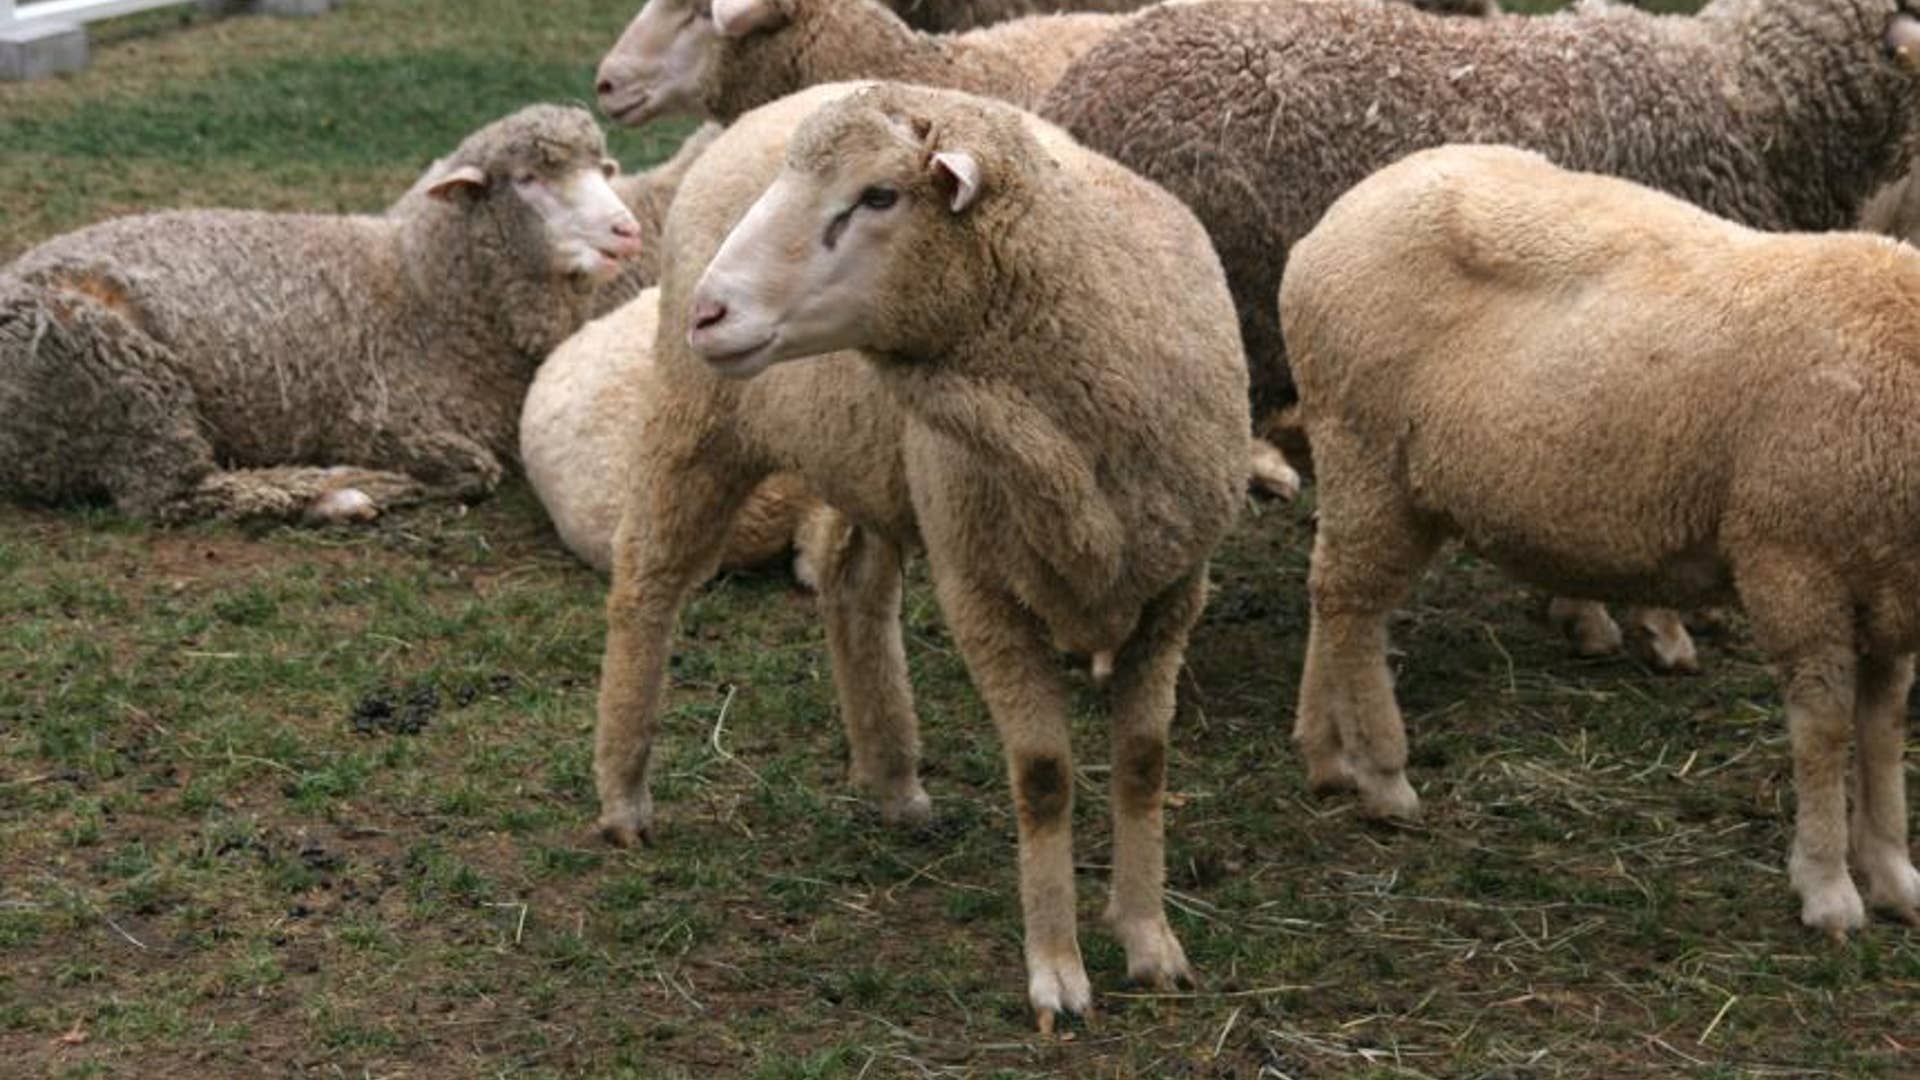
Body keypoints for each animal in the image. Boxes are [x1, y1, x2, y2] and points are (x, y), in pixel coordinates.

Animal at [0, 105, 641, 524]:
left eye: (602, 170)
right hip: (122, 380)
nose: (627, 231)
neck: (424, 289)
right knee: (172, 494)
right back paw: (340, 491)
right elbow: (477, 470)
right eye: (528, 180)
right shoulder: (373, 418)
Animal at [592, 81, 1249, 1028]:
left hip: (867, 455)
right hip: (700, 414)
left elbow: (1143, 762)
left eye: (879, 196)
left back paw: (894, 779)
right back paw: (624, 793)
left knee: (852, 588)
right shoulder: (982, 588)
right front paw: (1058, 973)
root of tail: (770, 104)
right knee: (645, 582)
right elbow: (1044, 777)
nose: (708, 313)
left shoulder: (1174, 588)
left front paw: (1149, 939)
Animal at [1280, 141, 1920, 935]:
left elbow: (1884, 727)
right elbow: (1826, 730)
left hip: (1377, 475)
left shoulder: (1890, 589)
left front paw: (1894, 876)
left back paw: (1326, 754)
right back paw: (1382, 776)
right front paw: (1828, 888)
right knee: (1352, 608)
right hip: (1365, 449)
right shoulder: (1793, 561)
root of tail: (1333, 221)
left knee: (1333, 593)